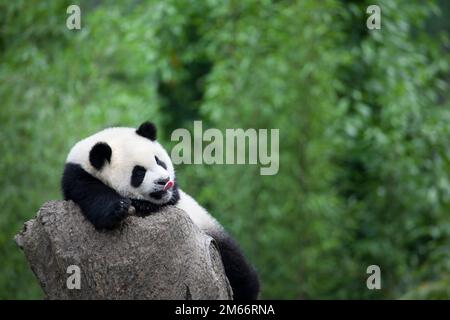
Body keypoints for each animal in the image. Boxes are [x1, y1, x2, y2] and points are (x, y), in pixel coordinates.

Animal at [61, 120, 258, 300]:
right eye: (138, 172)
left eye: (159, 161)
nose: (164, 181)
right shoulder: (77, 175)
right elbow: (89, 192)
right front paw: (118, 208)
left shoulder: (175, 195)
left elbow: (172, 198)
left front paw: (143, 204)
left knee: (237, 265)